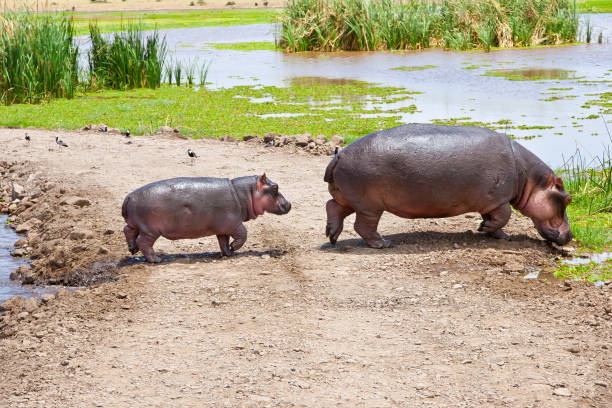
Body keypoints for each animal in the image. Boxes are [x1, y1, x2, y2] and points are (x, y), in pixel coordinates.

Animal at [122, 172, 292, 262]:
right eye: (275, 187)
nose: (289, 204)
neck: (245, 193)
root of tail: (128, 197)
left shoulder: (223, 228)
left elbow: (223, 241)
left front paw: (228, 253)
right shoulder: (234, 223)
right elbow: (243, 234)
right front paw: (234, 248)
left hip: (136, 224)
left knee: (128, 230)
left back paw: (132, 249)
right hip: (150, 230)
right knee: (143, 242)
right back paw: (156, 260)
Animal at [326, 122, 572, 247]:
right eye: (568, 199)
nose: (570, 236)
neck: (529, 180)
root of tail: (340, 155)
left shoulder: (489, 202)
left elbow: (495, 220)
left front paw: (500, 235)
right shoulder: (499, 199)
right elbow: (504, 216)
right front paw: (484, 229)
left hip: (351, 199)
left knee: (333, 206)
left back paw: (332, 236)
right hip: (369, 206)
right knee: (363, 226)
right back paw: (382, 243)